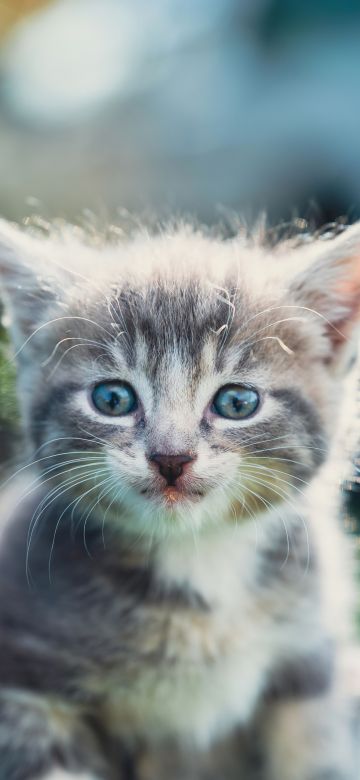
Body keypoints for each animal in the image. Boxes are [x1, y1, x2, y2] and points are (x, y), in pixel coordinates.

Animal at [0, 221, 358, 780]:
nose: (171, 458)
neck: (198, 556)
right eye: (112, 399)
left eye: (237, 402)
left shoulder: (308, 664)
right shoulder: (24, 680)